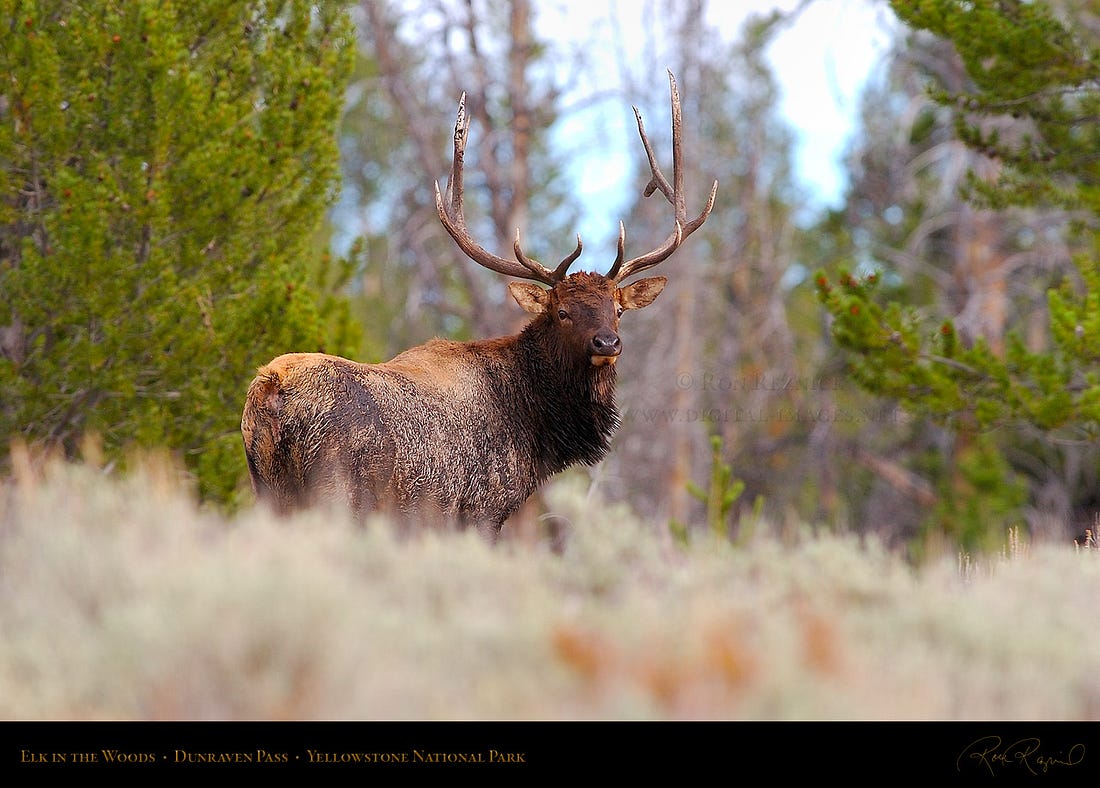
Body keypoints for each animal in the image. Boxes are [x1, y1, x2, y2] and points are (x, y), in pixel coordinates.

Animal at [241, 71, 716, 540]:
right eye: (562, 312)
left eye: (617, 310)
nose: (606, 343)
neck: (536, 428)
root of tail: (271, 386)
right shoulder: (481, 508)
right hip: (335, 491)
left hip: (267, 491)